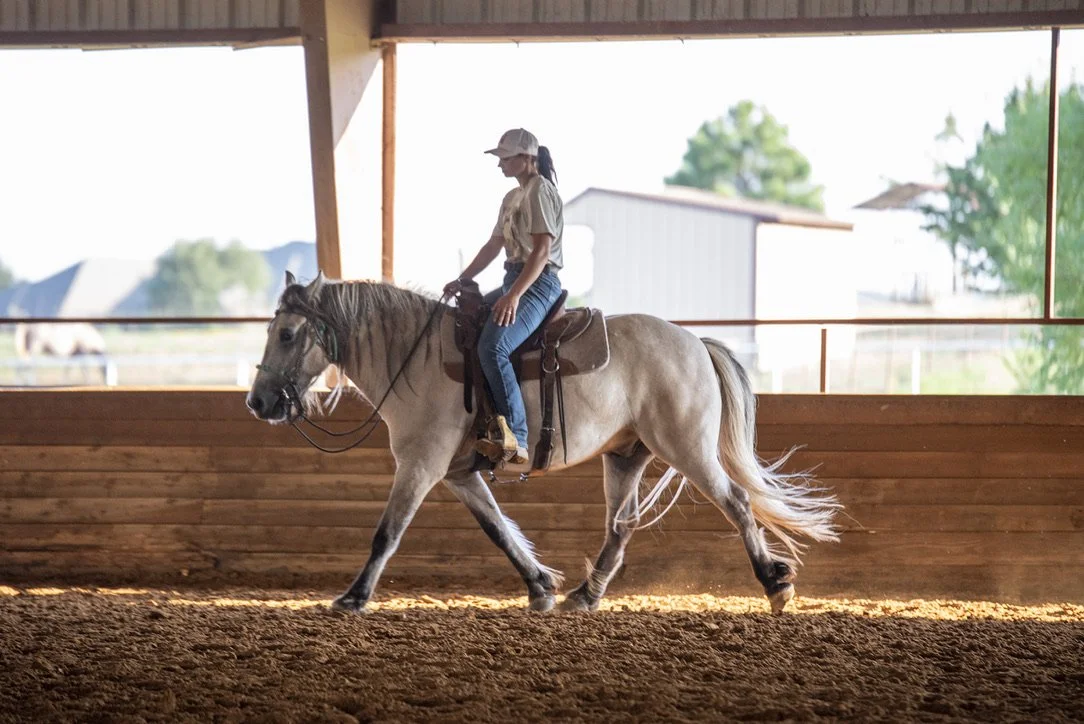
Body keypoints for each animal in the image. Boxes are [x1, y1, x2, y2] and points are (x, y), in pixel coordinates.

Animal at [246, 271, 840, 615]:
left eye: (288, 334)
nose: (258, 401)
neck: (413, 358)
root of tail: (695, 342)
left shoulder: (420, 465)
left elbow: (386, 534)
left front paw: (353, 597)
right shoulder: (460, 472)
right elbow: (498, 530)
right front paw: (540, 586)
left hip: (688, 448)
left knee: (736, 502)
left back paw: (775, 585)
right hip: (626, 455)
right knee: (621, 525)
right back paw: (585, 595)